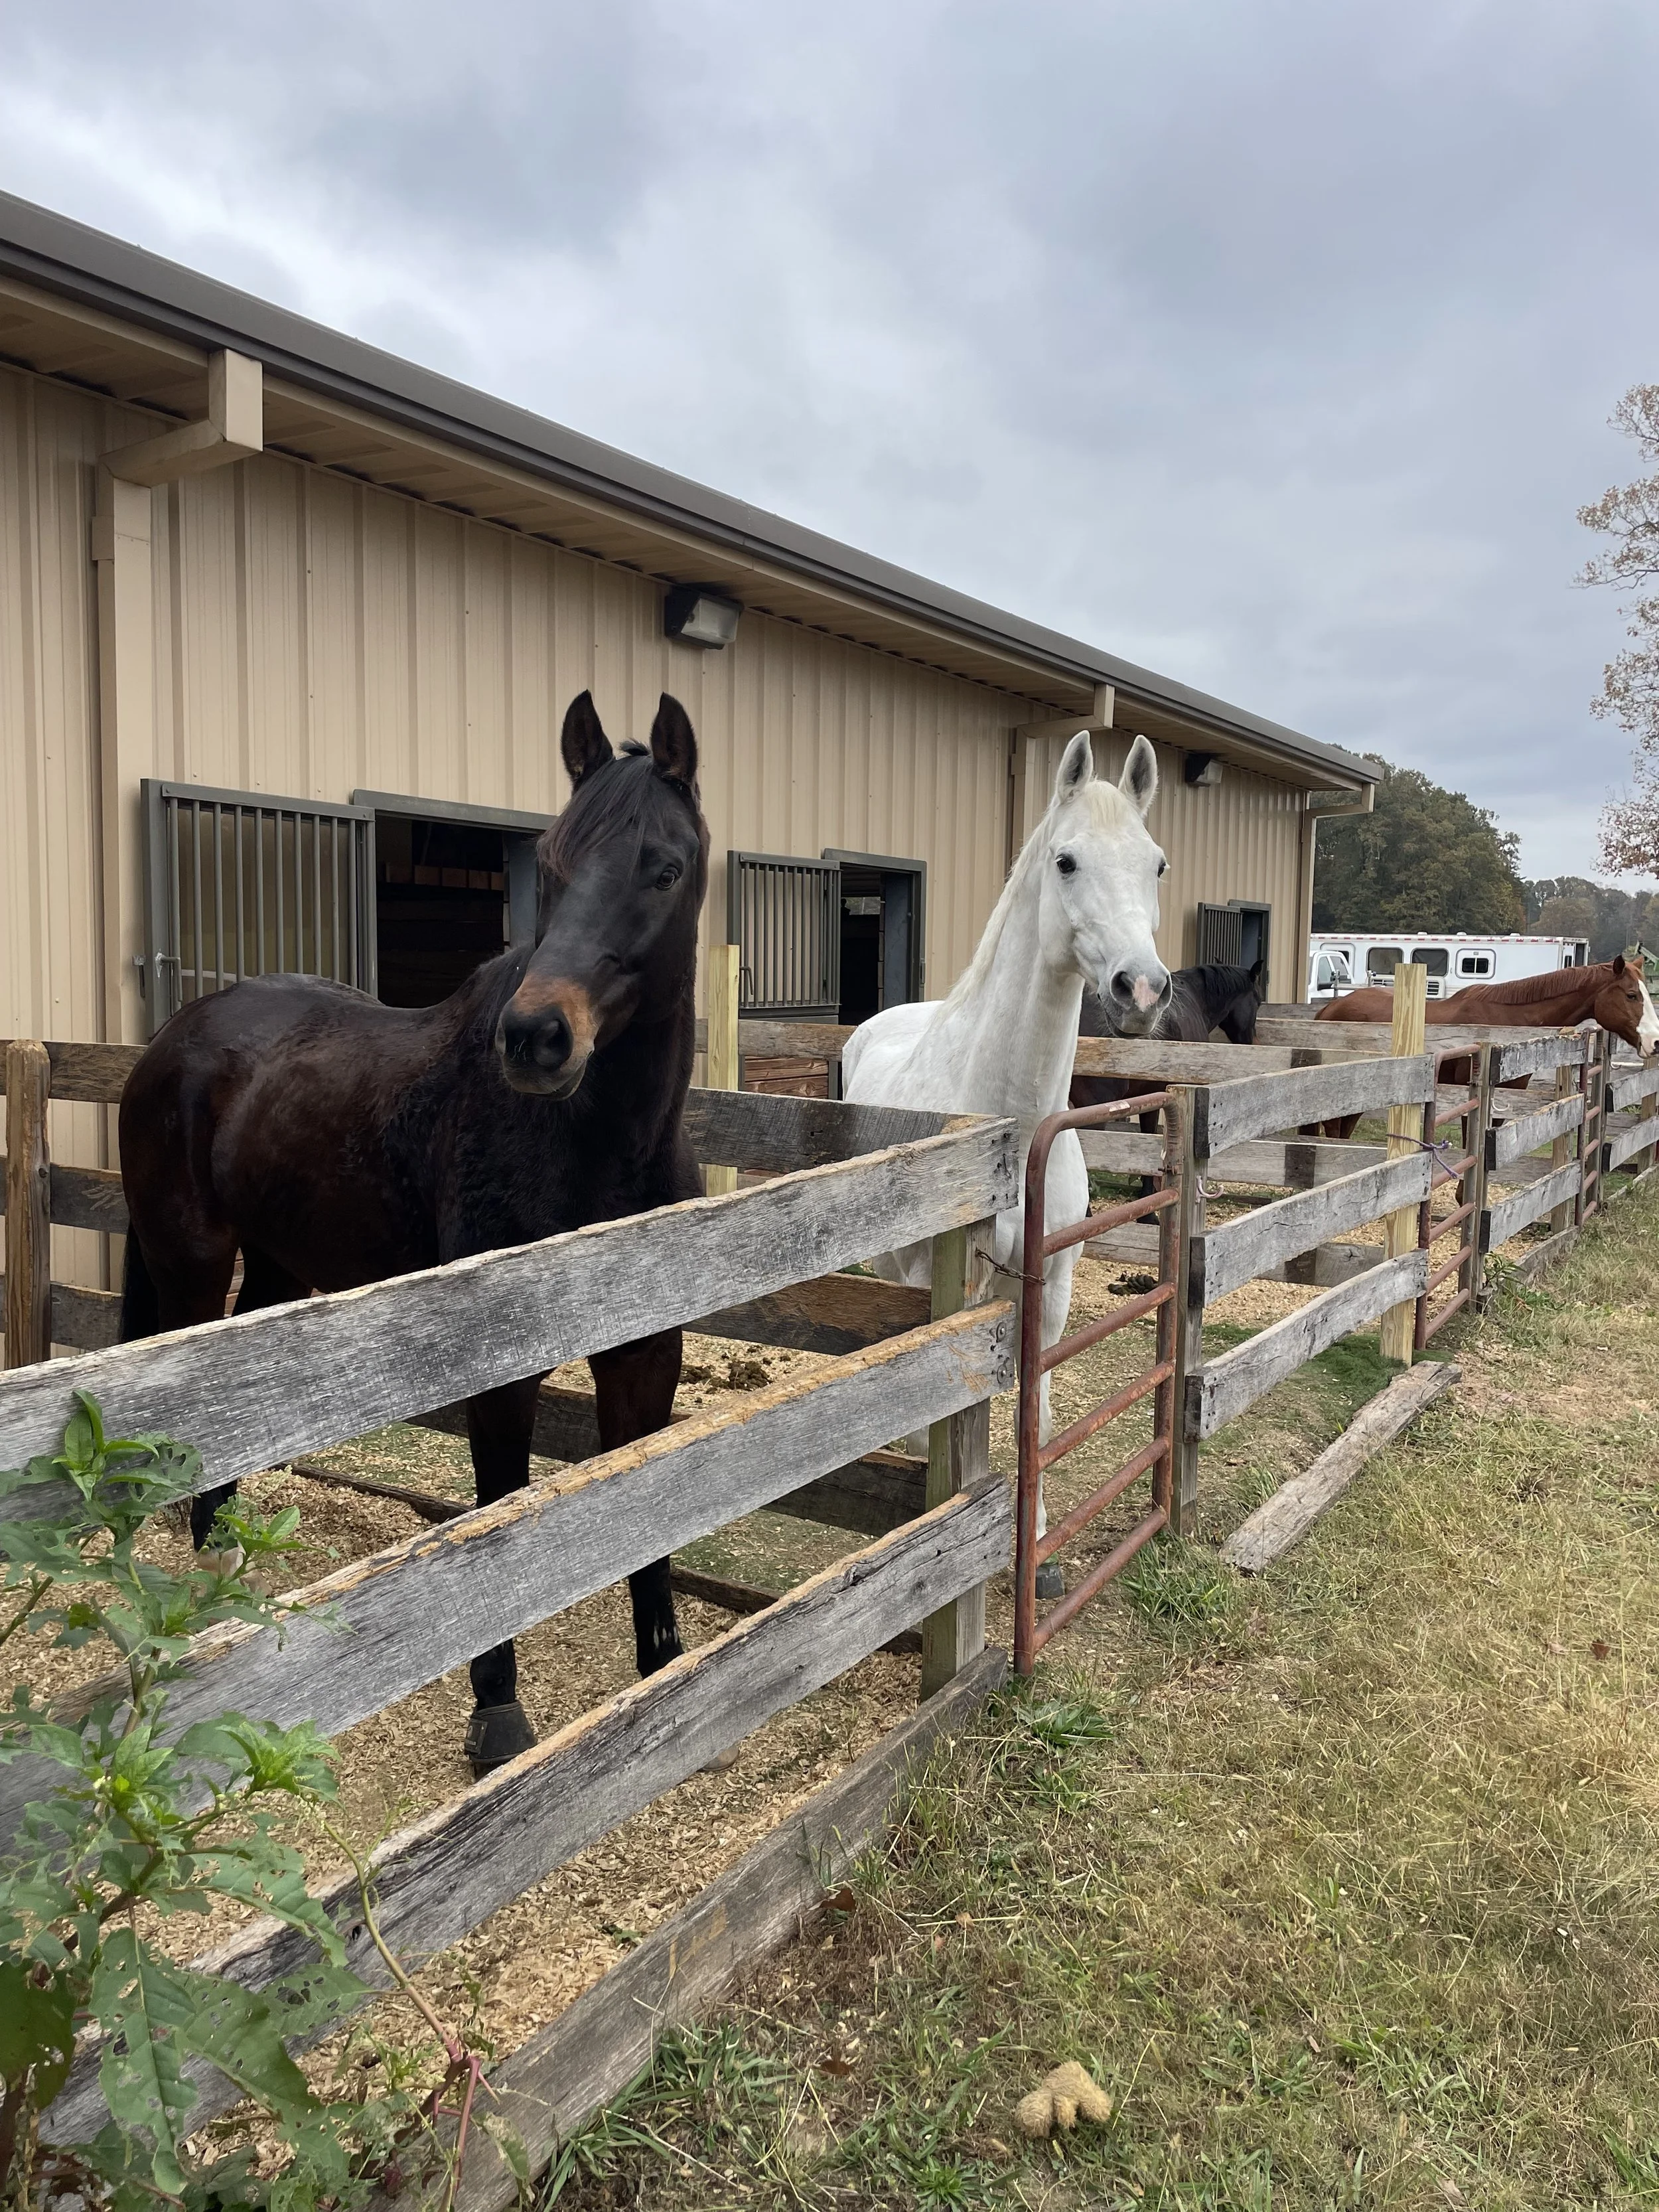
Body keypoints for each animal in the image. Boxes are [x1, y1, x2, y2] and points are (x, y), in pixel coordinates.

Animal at [117, 691, 708, 1775]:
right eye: (553, 862)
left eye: (666, 867)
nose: (535, 1038)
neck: (599, 1147)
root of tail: (175, 1039)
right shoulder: (502, 1364)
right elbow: (500, 1507)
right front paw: (498, 1715)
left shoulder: (647, 1350)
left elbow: (647, 1506)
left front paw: (665, 1672)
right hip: (190, 1266)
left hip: (275, 1271)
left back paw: (231, 1580)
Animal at [840, 729, 1170, 1598]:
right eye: (1066, 861)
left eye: (1156, 863)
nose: (1142, 987)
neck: (1009, 1125)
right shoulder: (941, 1280)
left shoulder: (1049, 1285)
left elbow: (1040, 1410)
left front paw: (1041, 1546)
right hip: (898, 1267)